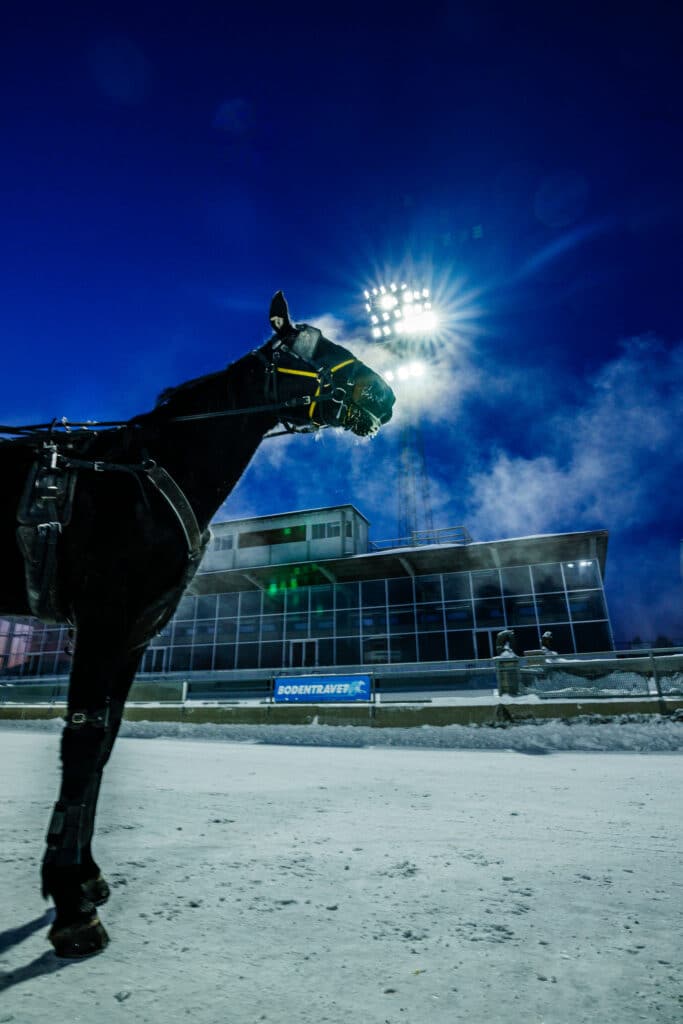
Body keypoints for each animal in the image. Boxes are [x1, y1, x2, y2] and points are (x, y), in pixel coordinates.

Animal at [0, 299, 395, 958]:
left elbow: (104, 746)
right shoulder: (104, 623)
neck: (140, 479)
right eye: (310, 346)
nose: (385, 393)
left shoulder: (132, 637)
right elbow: (83, 746)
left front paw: (85, 874)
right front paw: (71, 903)